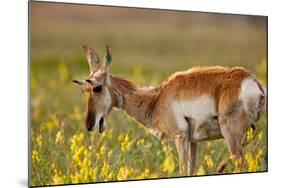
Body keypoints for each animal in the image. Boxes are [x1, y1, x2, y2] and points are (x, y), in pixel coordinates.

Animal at [72, 45, 264, 176]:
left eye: (97, 87)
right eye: (83, 90)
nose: (89, 124)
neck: (156, 98)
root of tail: (252, 81)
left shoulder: (180, 138)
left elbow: (182, 171)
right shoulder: (193, 142)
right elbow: (191, 170)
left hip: (231, 135)